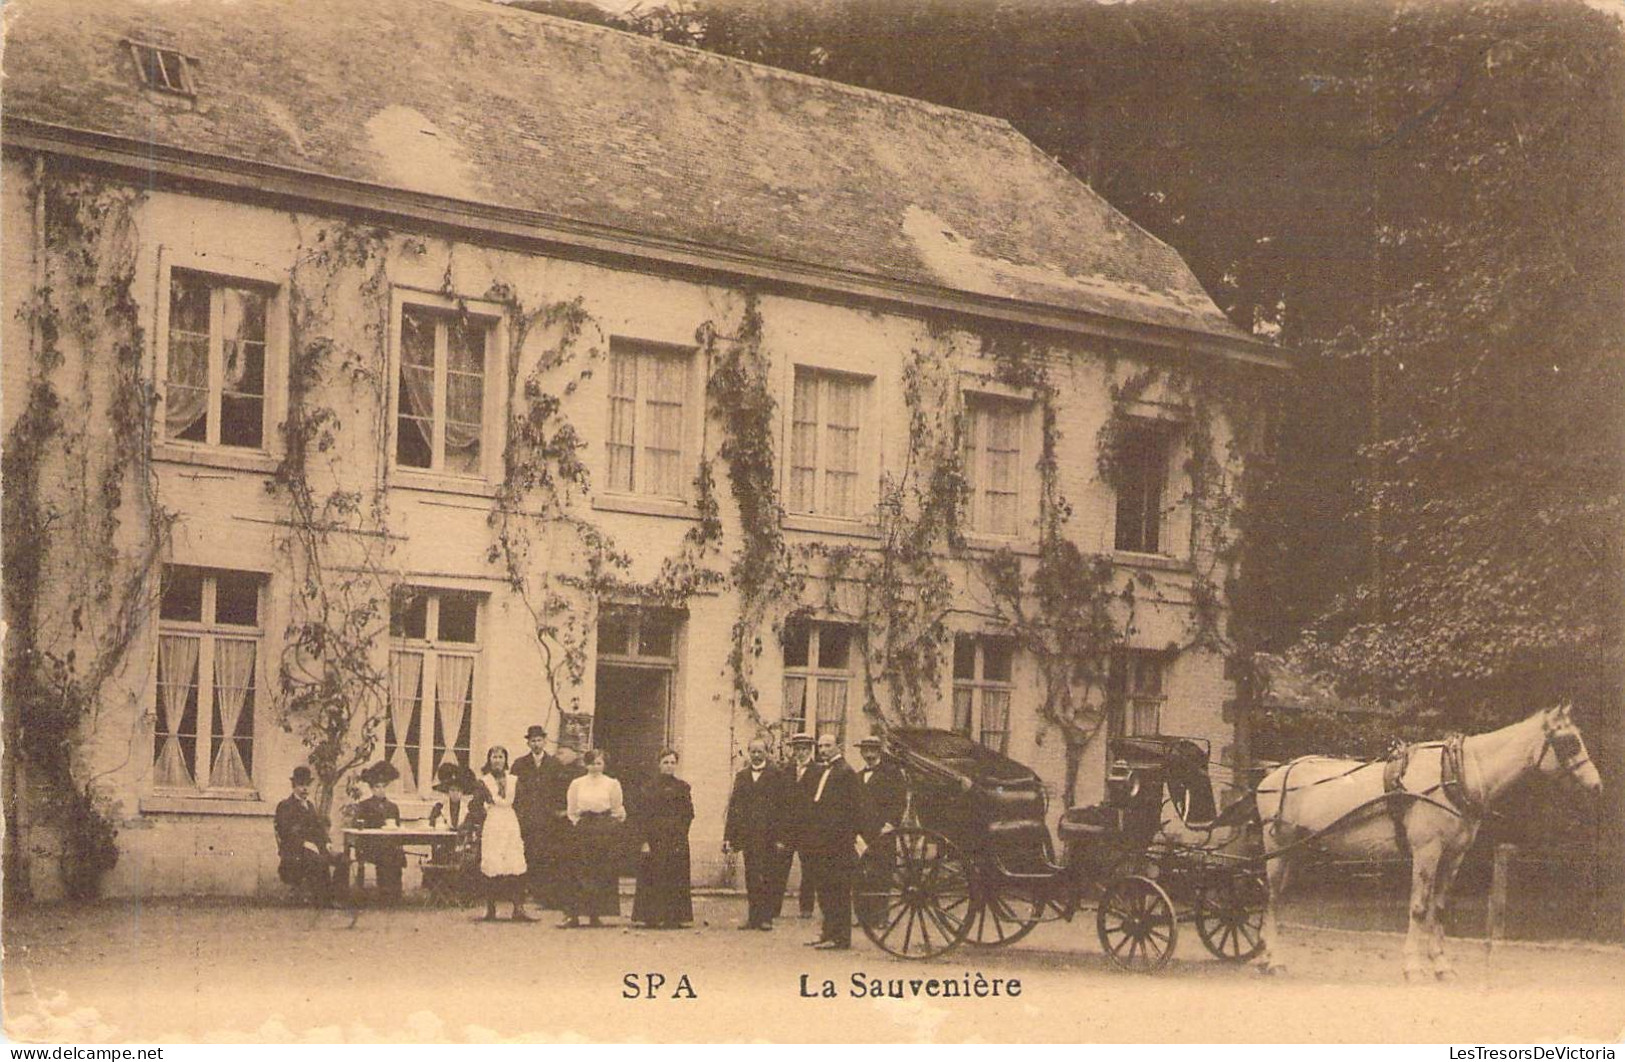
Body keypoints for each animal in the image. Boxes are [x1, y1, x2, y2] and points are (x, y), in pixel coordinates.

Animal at [1254, 708, 1599, 980]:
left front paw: (1442, 966)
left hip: (1294, 852)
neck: (1454, 775)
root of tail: (1274, 773)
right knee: (1269, 898)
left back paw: (1264, 956)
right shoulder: (1427, 852)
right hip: (1276, 848)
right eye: (1570, 741)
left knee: (1274, 898)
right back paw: (1274, 960)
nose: (1597, 785)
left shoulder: (1453, 856)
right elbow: (1419, 907)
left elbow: (1439, 908)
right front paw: (1413, 966)